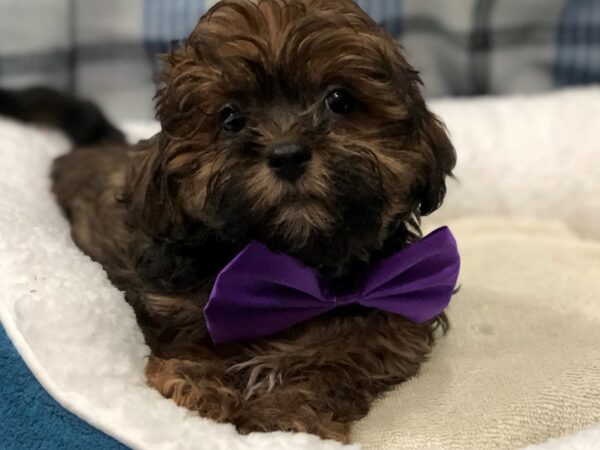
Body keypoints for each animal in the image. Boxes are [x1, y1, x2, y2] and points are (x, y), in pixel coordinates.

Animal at [51, 0, 454, 442]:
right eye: (230, 118)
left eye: (339, 100)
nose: (287, 155)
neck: (292, 272)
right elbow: (192, 342)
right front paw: (199, 387)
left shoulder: (392, 326)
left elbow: (337, 361)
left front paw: (285, 412)